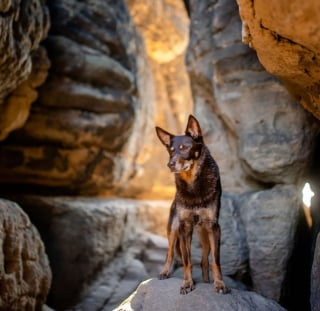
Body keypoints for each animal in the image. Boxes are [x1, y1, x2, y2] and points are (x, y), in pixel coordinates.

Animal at [156, 116, 228, 296]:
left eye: (185, 148)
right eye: (171, 150)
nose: (170, 164)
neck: (193, 183)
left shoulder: (214, 227)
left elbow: (215, 260)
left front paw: (219, 284)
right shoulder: (184, 227)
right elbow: (187, 260)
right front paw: (187, 283)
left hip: (205, 234)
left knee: (204, 261)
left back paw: (207, 281)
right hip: (173, 228)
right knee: (169, 253)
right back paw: (164, 272)